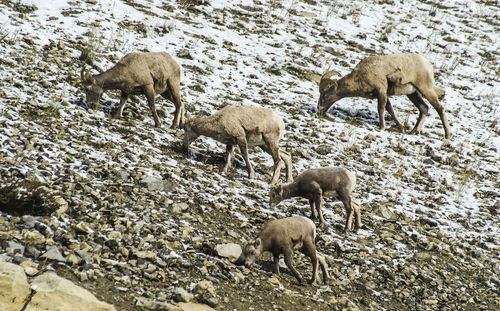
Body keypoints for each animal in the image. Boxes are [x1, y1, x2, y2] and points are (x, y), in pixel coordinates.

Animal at [318, 53, 452, 139]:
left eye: (325, 93)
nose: (319, 109)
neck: (360, 77)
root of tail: (428, 65)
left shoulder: (381, 90)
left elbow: (381, 108)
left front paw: (382, 128)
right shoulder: (384, 94)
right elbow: (390, 110)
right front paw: (401, 128)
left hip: (425, 89)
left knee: (439, 108)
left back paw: (447, 135)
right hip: (413, 94)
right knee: (424, 108)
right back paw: (414, 131)